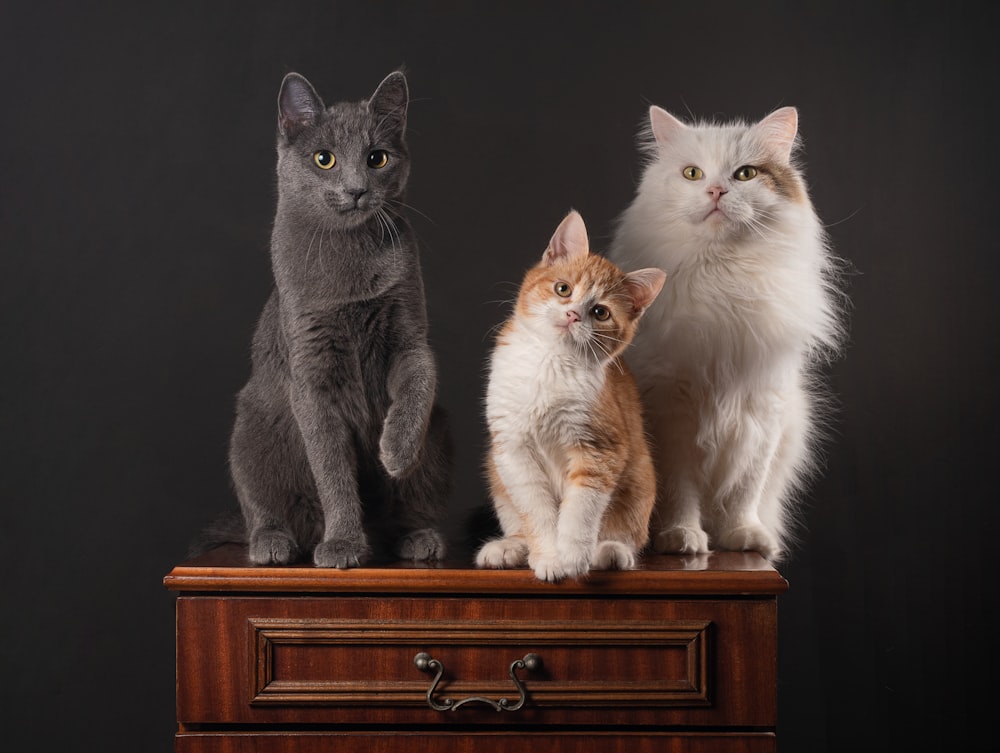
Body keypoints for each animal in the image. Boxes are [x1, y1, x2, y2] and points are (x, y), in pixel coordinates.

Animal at [215, 70, 454, 568]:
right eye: (324, 159)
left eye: (376, 158)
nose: (356, 189)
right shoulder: (311, 373)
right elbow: (332, 470)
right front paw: (343, 543)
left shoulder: (410, 336)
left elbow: (418, 383)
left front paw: (395, 452)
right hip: (248, 431)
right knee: (260, 507)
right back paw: (274, 544)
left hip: (441, 431)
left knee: (411, 506)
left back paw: (417, 538)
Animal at [474, 212, 664, 580]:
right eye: (563, 289)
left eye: (600, 312)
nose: (573, 314)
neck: (550, 363)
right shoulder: (513, 449)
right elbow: (536, 508)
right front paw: (549, 556)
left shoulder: (600, 447)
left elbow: (581, 509)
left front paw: (573, 556)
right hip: (496, 472)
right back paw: (509, 547)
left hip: (639, 476)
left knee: (627, 533)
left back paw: (609, 551)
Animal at [608, 107, 844, 564]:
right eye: (693, 173)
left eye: (745, 174)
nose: (716, 191)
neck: (724, 280)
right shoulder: (671, 409)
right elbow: (679, 490)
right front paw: (681, 538)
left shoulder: (764, 408)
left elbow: (745, 491)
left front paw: (743, 537)